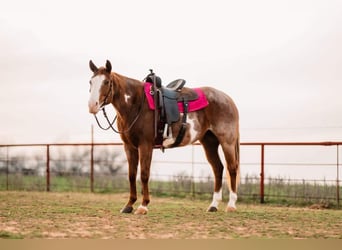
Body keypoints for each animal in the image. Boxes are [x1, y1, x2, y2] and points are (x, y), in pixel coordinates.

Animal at [87, 60, 239, 215]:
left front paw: (143, 206)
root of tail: (227, 99)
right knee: (218, 168)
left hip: (227, 142)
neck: (136, 103)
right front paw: (129, 205)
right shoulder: (129, 147)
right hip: (209, 142)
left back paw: (231, 205)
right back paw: (213, 205)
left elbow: (144, 174)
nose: (92, 106)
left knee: (232, 168)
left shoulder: (145, 145)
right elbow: (131, 175)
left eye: (106, 82)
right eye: (91, 82)